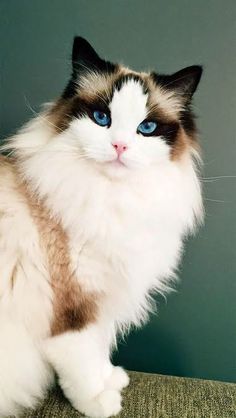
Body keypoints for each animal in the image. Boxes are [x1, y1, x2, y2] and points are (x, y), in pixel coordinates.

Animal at [0, 36, 203, 418]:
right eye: (101, 118)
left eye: (146, 128)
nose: (119, 146)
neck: (111, 200)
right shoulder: (75, 308)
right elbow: (82, 364)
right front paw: (99, 402)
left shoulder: (104, 299)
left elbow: (100, 351)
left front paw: (112, 380)